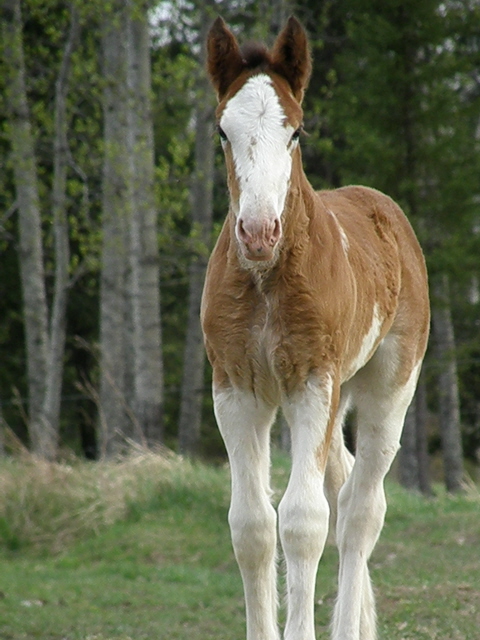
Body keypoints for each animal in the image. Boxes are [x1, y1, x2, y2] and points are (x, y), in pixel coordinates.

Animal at [201, 15, 430, 640]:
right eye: (222, 132)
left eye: (297, 132)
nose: (258, 233)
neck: (264, 281)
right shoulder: (235, 389)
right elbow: (251, 525)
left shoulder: (311, 382)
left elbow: (303, 521)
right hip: (336, 392)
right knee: (342, 485)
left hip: (385, 390)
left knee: (359, 511)